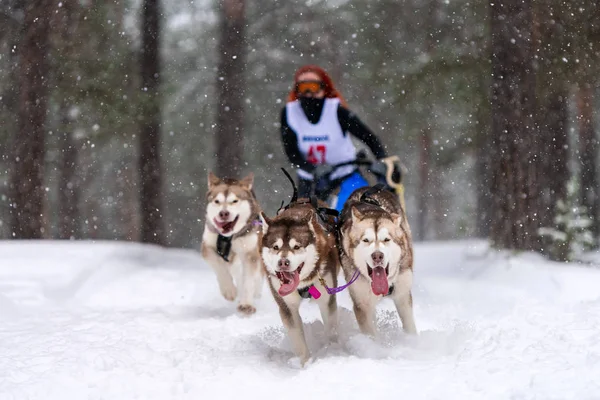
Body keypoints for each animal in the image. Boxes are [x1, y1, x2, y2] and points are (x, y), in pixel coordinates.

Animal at [202, 172, 264, 316]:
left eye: (234, 201)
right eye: (217, 201)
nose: (224, 213)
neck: (228, 237)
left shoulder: (249, 252)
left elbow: (248, 280)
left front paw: (246, 304)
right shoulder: (207, 246)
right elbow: (218, 265)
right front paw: (229, 290)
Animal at [260, 200, 340, 366]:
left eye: (296, 246)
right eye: (275, 247)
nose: (283, 262)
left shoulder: (327, 298)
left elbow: (331, 329)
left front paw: (330, 351)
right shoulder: (286, 307)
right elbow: (297, 339)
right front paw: (305, 364)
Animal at [338, 186, 418, 336]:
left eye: (386, 239)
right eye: (366, 240)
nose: (377, 256)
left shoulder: (403, 294)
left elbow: (410, 326)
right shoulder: (362, 302)